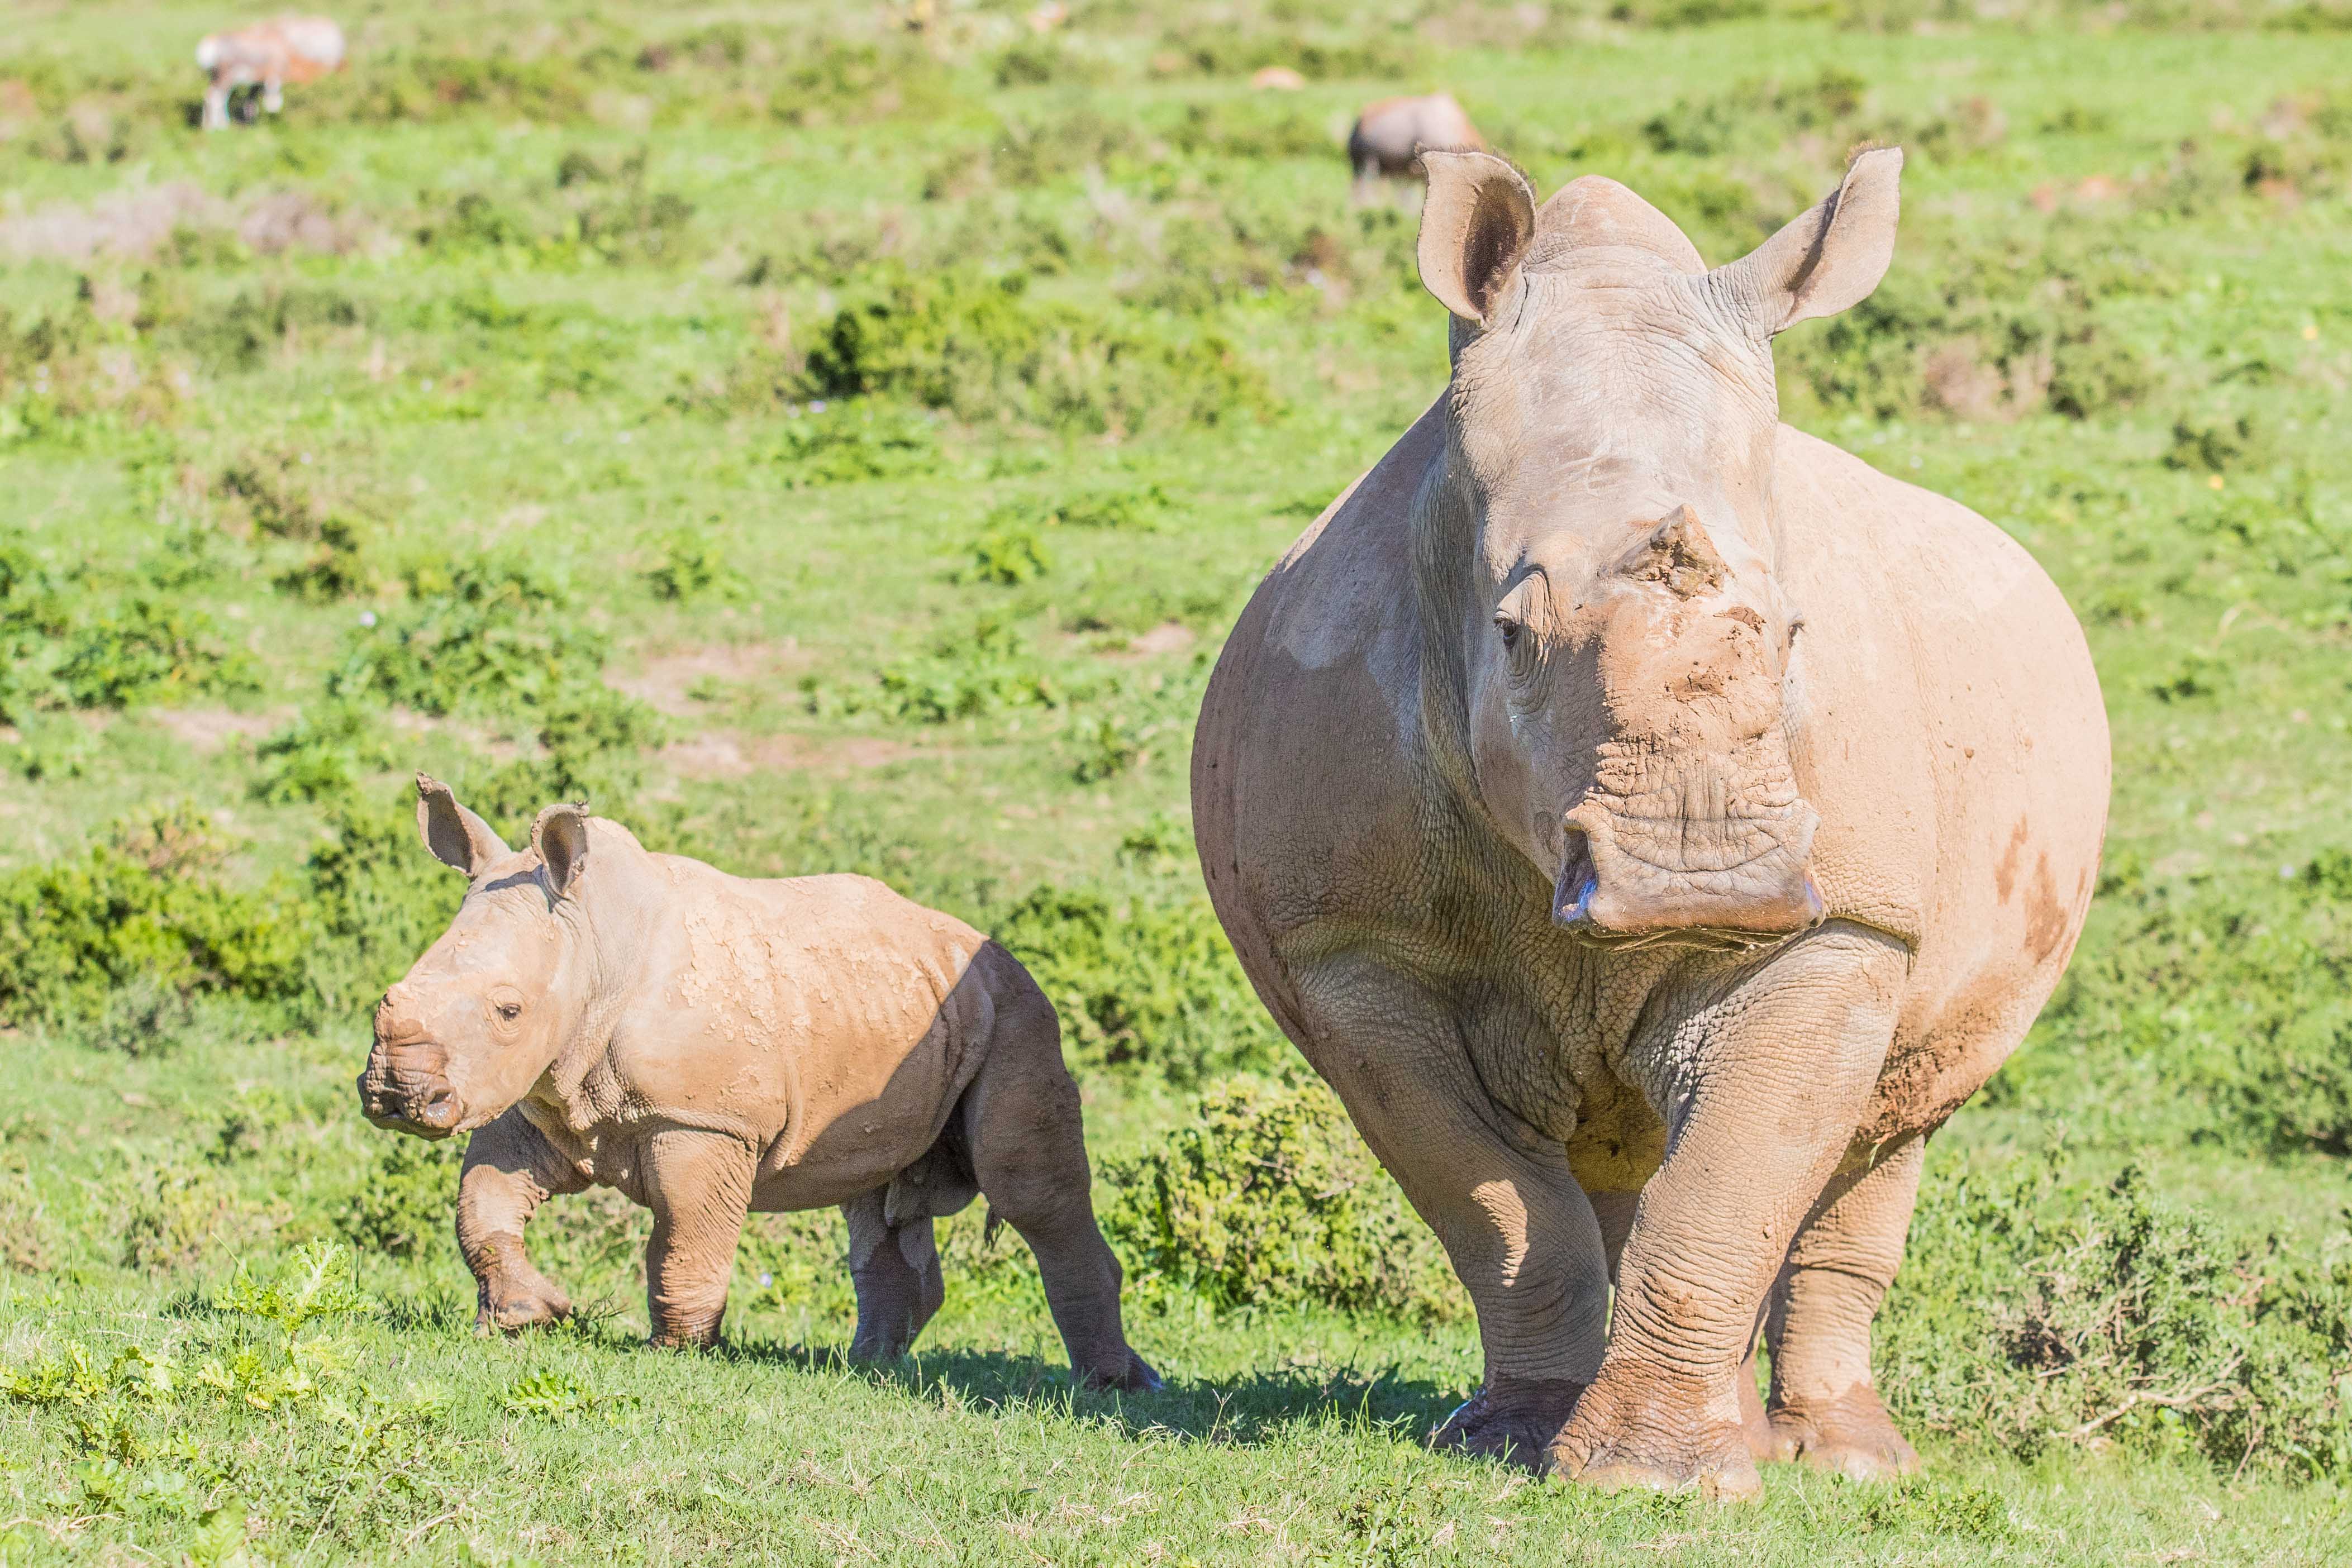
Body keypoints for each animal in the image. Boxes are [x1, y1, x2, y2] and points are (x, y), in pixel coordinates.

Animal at [362, 780, 1161, 1391]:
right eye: (393, 991)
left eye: (508, 1010)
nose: (399, 1094)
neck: (593, 939)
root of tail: (996, 950)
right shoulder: (540, 1093)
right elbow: (482, 1201)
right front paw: (527, 1315)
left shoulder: (703, 1120)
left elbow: (687, 1237)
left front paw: (677, 1352)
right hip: (903, 1007)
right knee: (876, 1196)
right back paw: (867, 1369)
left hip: (1018, 1012)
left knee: (1028, 1189)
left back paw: (1114, 1385)